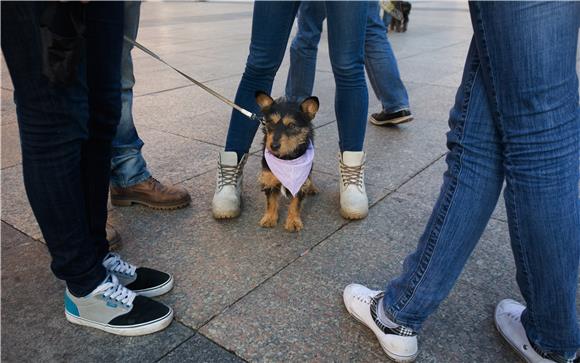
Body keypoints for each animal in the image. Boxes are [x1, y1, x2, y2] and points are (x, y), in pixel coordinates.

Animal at [256, 91, 320, 233]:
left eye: (291, 125)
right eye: (270, 123)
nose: (273, 146)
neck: (286, 159)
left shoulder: (299, 181)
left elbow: (295, 203)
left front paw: (293, 221)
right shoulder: (269, 178)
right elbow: (271, 201)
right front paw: (269, 218)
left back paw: (312, 187)